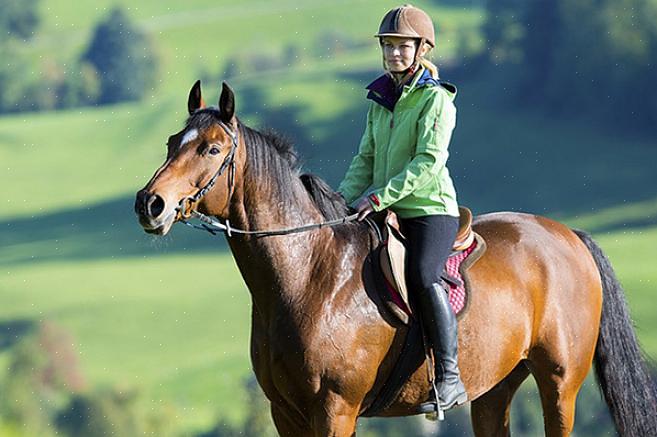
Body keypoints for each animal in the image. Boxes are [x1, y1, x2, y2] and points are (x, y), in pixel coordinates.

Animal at [135, 81, 656, 432]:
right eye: (172, 143)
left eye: (212, 148)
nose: (149, 204)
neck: (309, 276)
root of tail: (569, 236)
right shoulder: (285, 412)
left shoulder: (335, 409)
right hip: (495, 388)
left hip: (559, 384)